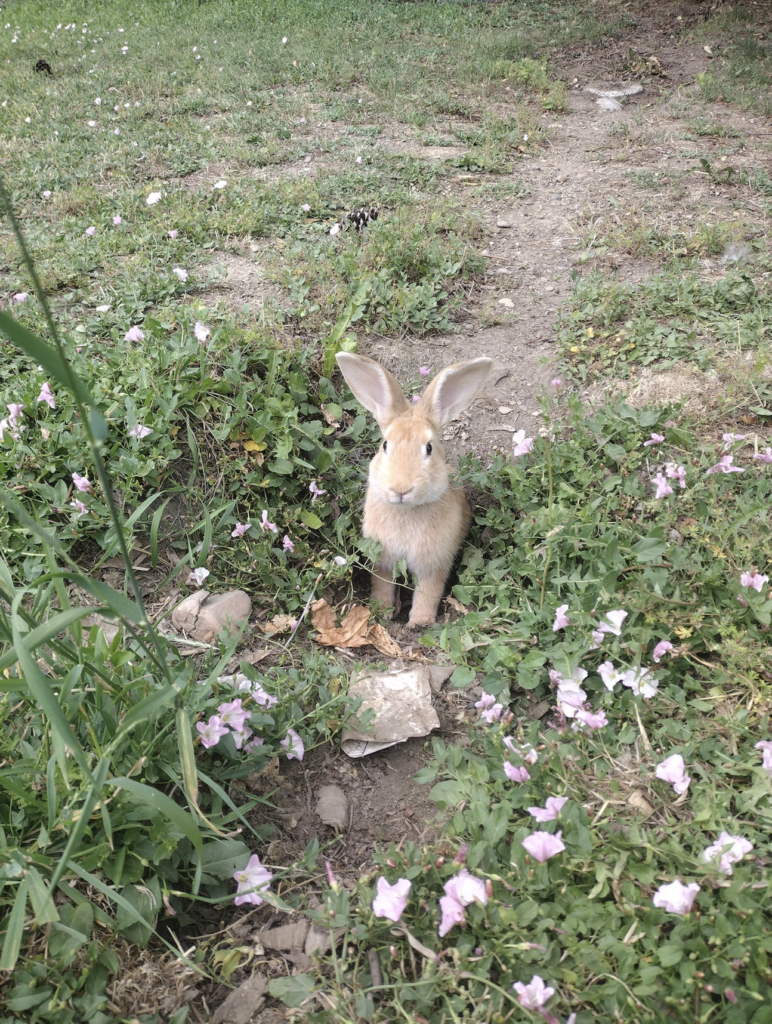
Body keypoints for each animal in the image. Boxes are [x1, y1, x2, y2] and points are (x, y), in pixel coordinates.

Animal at [333, 352, 489, 622]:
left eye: (429, 447)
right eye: (385, 445)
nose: (401, 489)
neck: (406, 511)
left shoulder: (433, 563)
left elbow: (428, 591)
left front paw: (419, 622)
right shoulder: (383, 561)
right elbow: (382, 584)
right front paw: (382, 611)